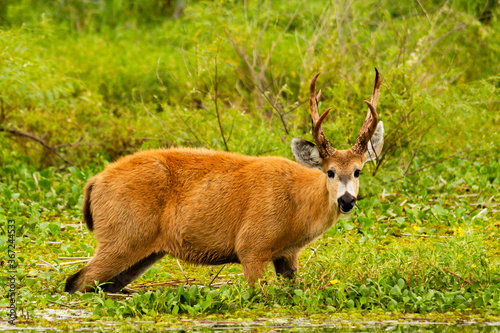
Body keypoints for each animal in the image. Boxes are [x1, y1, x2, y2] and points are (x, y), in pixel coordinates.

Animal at [63, 68, 382, 292]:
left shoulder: (287, 256)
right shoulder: (252, 246)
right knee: (76, 282)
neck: (297, 206)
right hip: (123, 236)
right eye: (330, 171)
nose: (346, 200)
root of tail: (93, 183)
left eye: (358, 170)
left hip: (142, 250)